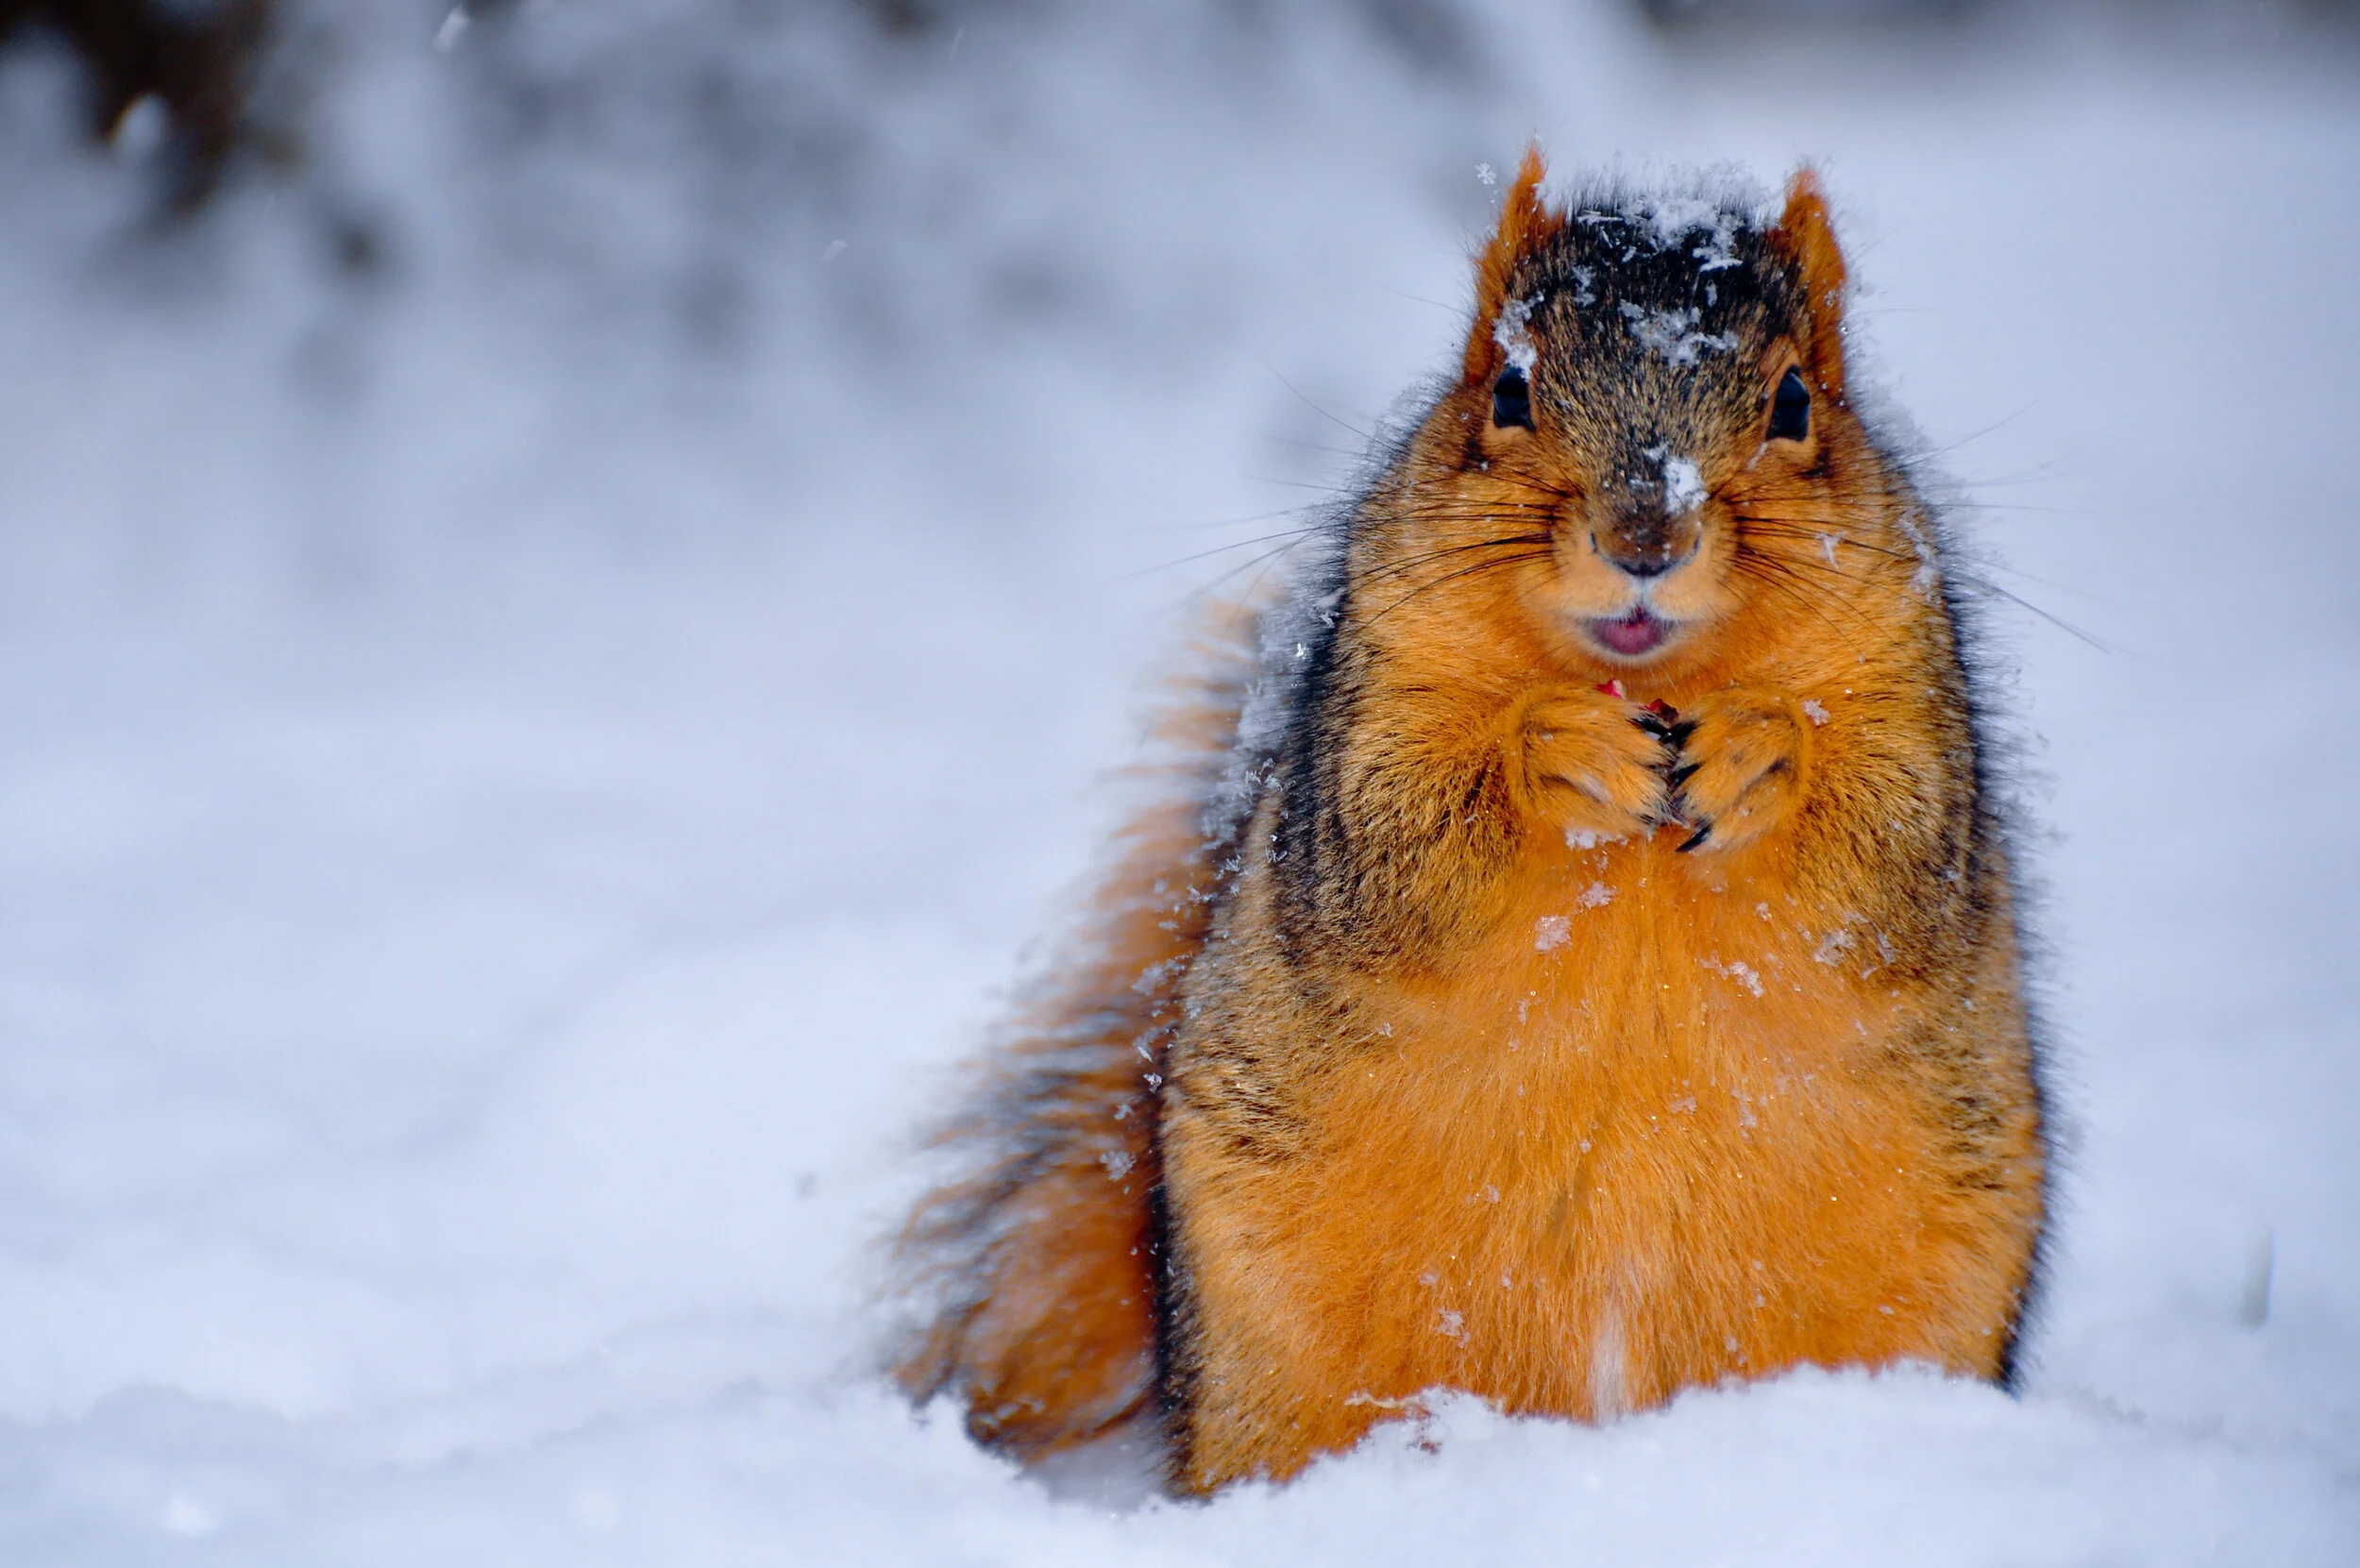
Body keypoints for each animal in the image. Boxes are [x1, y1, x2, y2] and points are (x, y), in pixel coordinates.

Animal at [894, 150, 2048, 1496]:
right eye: (1505, 388)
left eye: (1797, 402)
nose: (1644, 536)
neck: (1647, 681)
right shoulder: (1364, 717)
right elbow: (1391, 856)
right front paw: (1552, 752)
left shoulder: (1919, 697)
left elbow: (1893, 865)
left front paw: (1765, 749)